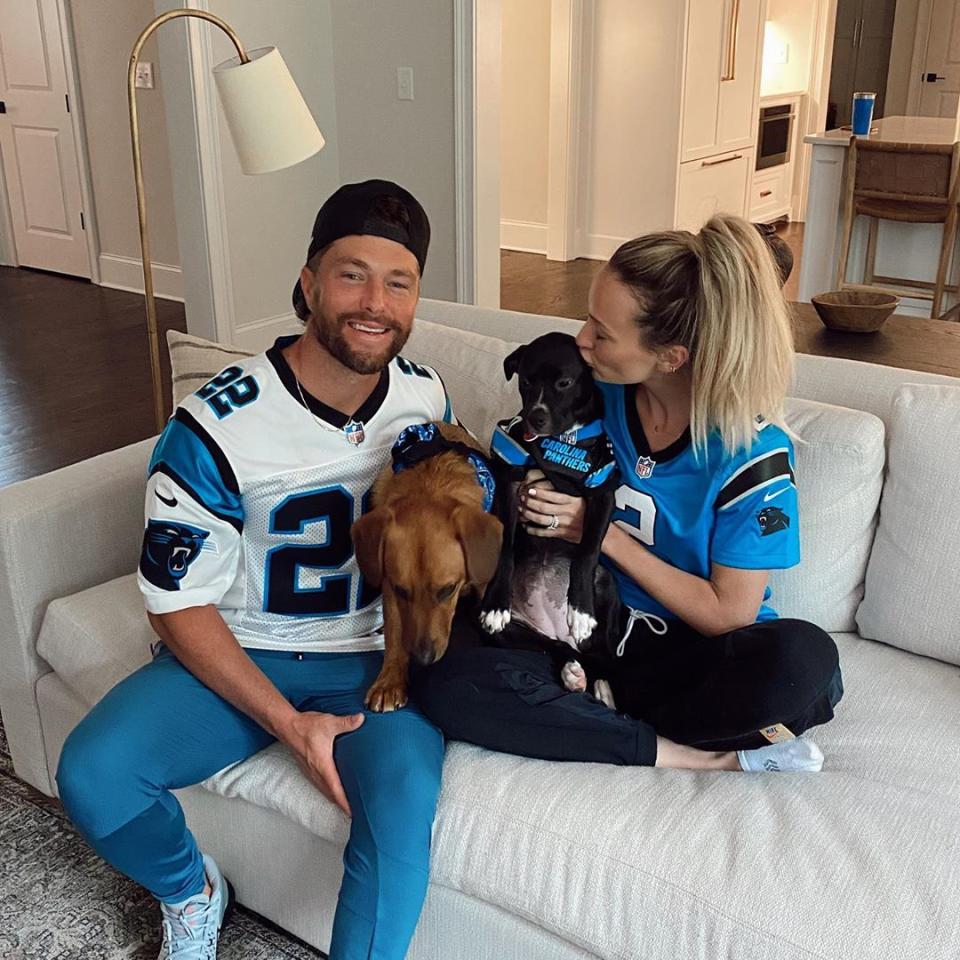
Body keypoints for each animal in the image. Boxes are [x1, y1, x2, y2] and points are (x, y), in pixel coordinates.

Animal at [352, 422, 502, 712]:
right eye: (402, 591)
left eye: (448, 589)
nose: (422, 658)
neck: (431, 483)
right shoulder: (389, 588)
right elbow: (395, 632)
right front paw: (390, 680)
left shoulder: (482, 582)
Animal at [480, 334, 624, 692]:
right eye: (526, 381)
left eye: (564, 383)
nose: (536, 417)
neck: (562, 444)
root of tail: (554, 626)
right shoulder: (510, 481)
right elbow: (506, 545)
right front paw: (496, 603)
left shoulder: (602, 492)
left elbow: (587, 550)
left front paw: (581, 611)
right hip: (513, 636)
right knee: (555, 646)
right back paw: (573, 672)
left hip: (608, 582)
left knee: (605, 653)